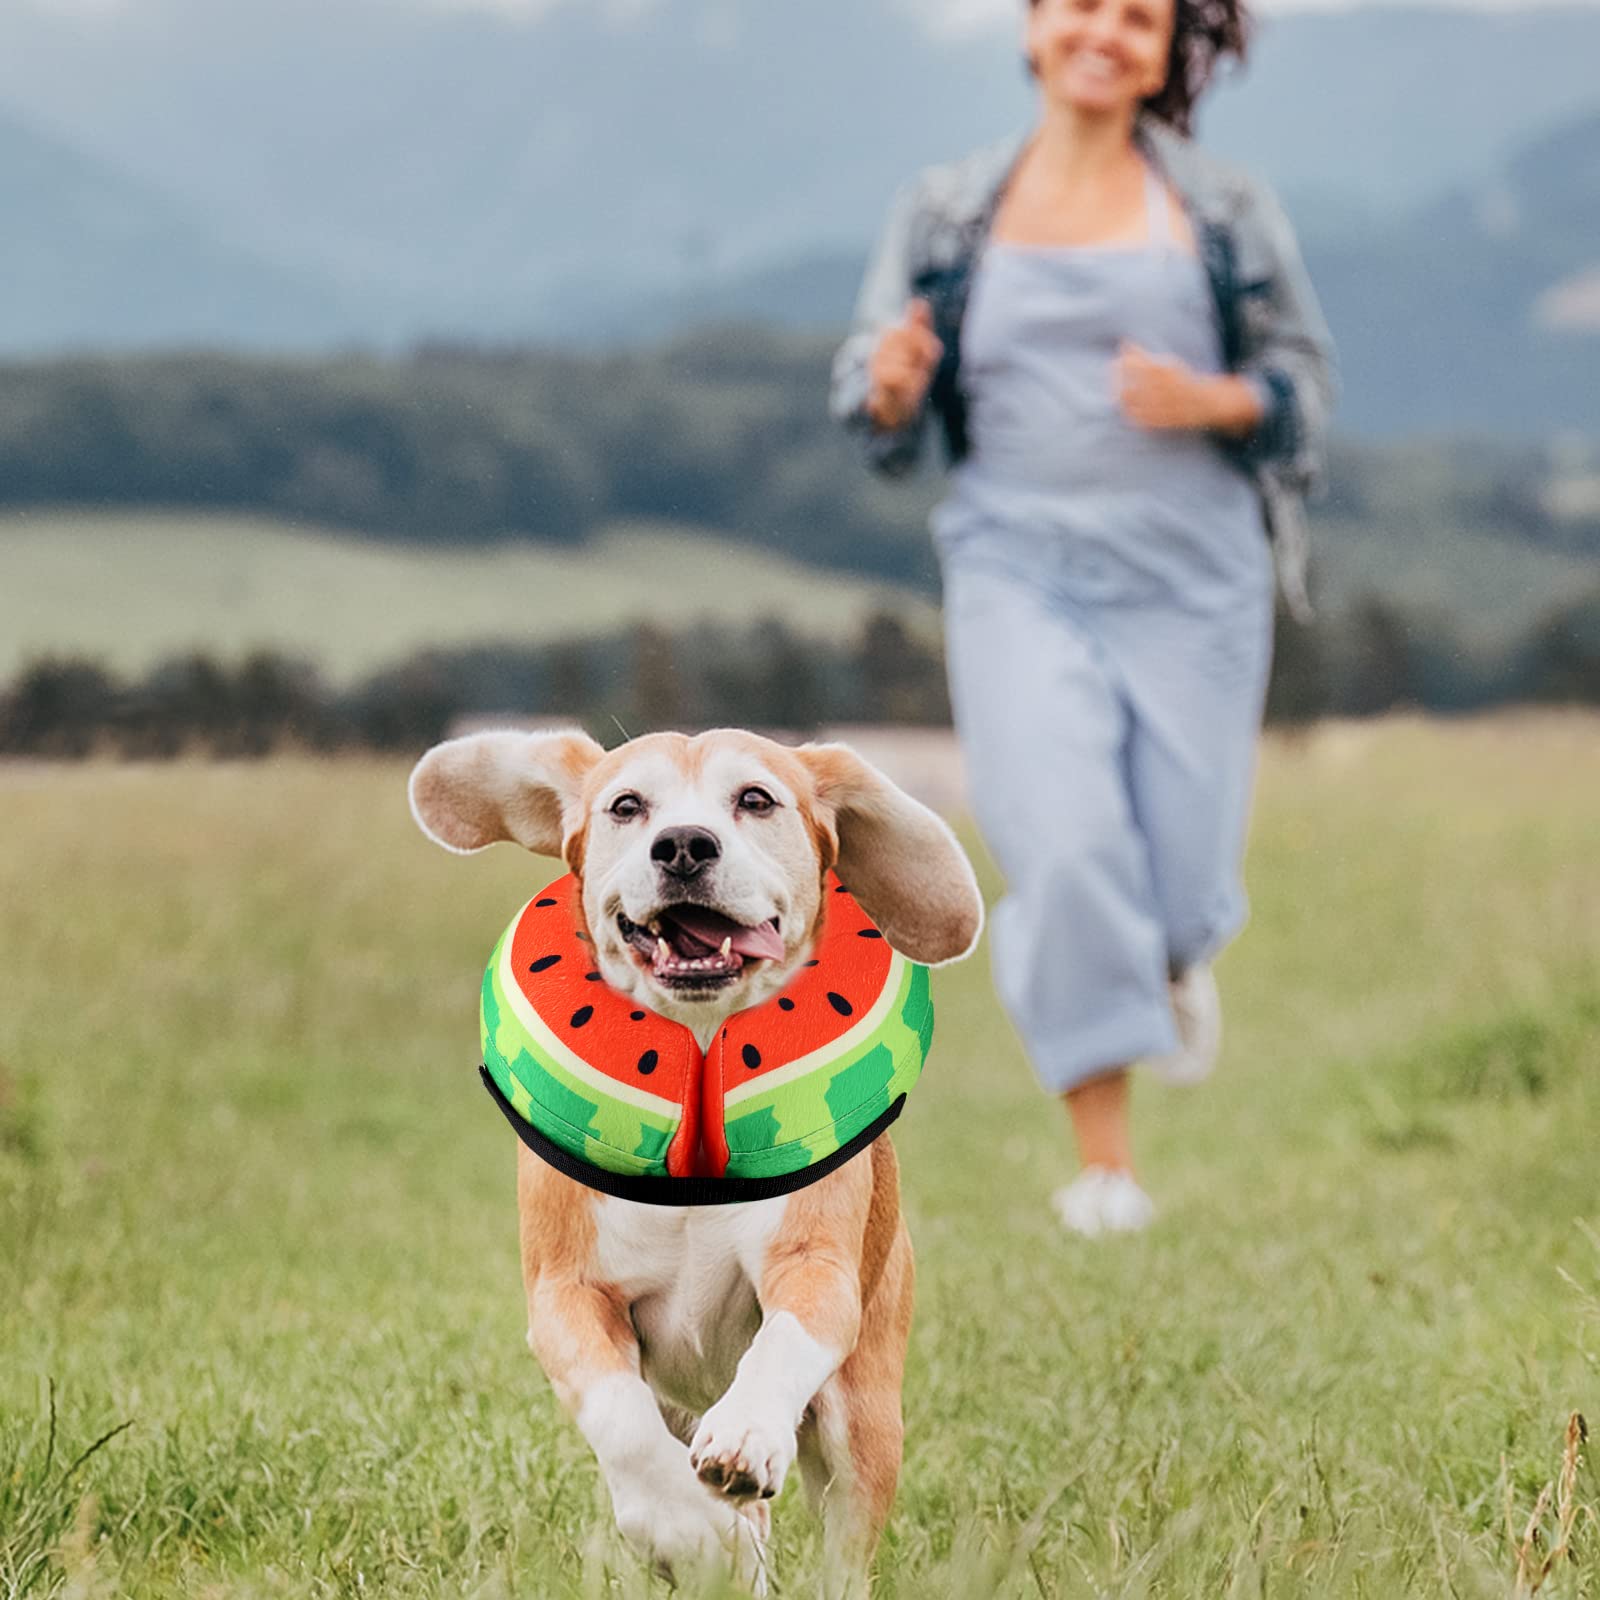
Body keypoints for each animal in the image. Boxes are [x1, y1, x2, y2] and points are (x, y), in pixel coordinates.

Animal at [409, 732, 985, 1593]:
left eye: (755, 799)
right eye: (626, 806)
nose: (682, 845)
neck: (704, 1041)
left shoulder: (815, 1271)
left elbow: (782, 1341)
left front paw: (744, 1437)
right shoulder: (567, 1296)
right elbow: (622, 1422)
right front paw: (691, 1532)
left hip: (865, 1413)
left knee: (847, 1541)